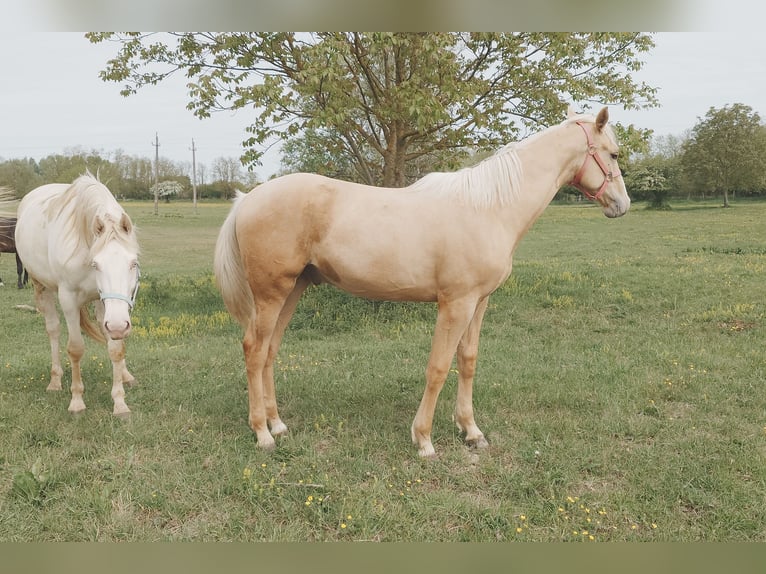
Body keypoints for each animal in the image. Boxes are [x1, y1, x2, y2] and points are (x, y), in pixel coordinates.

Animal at [15, 173, 141, 416]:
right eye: (96, 264)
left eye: (133, 263)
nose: (119, 326)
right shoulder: (69, 300)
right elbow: (75, 349)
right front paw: (76, 401)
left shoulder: (107, 306)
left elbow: (116, 349)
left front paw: (120, 403)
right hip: (41, 286)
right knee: (53, 330)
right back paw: (55, 380)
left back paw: (126, 375)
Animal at [214, 107, 630, 457]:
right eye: (612, 154)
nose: (621, 205)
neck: (489, 208)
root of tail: (249, 198)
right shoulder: (455, 304)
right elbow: (438, 367)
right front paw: (424, 439)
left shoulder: (478, 302)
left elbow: (467, 361)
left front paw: (471, 431)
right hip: (271, 293)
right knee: (254, 350)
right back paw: (262, 434)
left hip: (292, 290)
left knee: (270, 350)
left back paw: (278, 424)